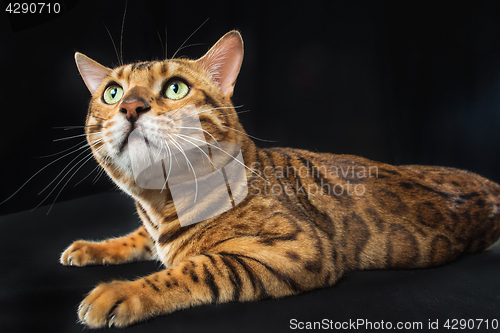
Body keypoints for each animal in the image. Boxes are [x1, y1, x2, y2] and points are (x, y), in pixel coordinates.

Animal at [60, 30, 500, 326]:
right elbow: (139, 238)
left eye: (175, 88)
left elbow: (196, 267)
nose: (131, 106)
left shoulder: (299, 250)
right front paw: (93, 247)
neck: (162, 205)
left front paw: (121, 291)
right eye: (112, 93)